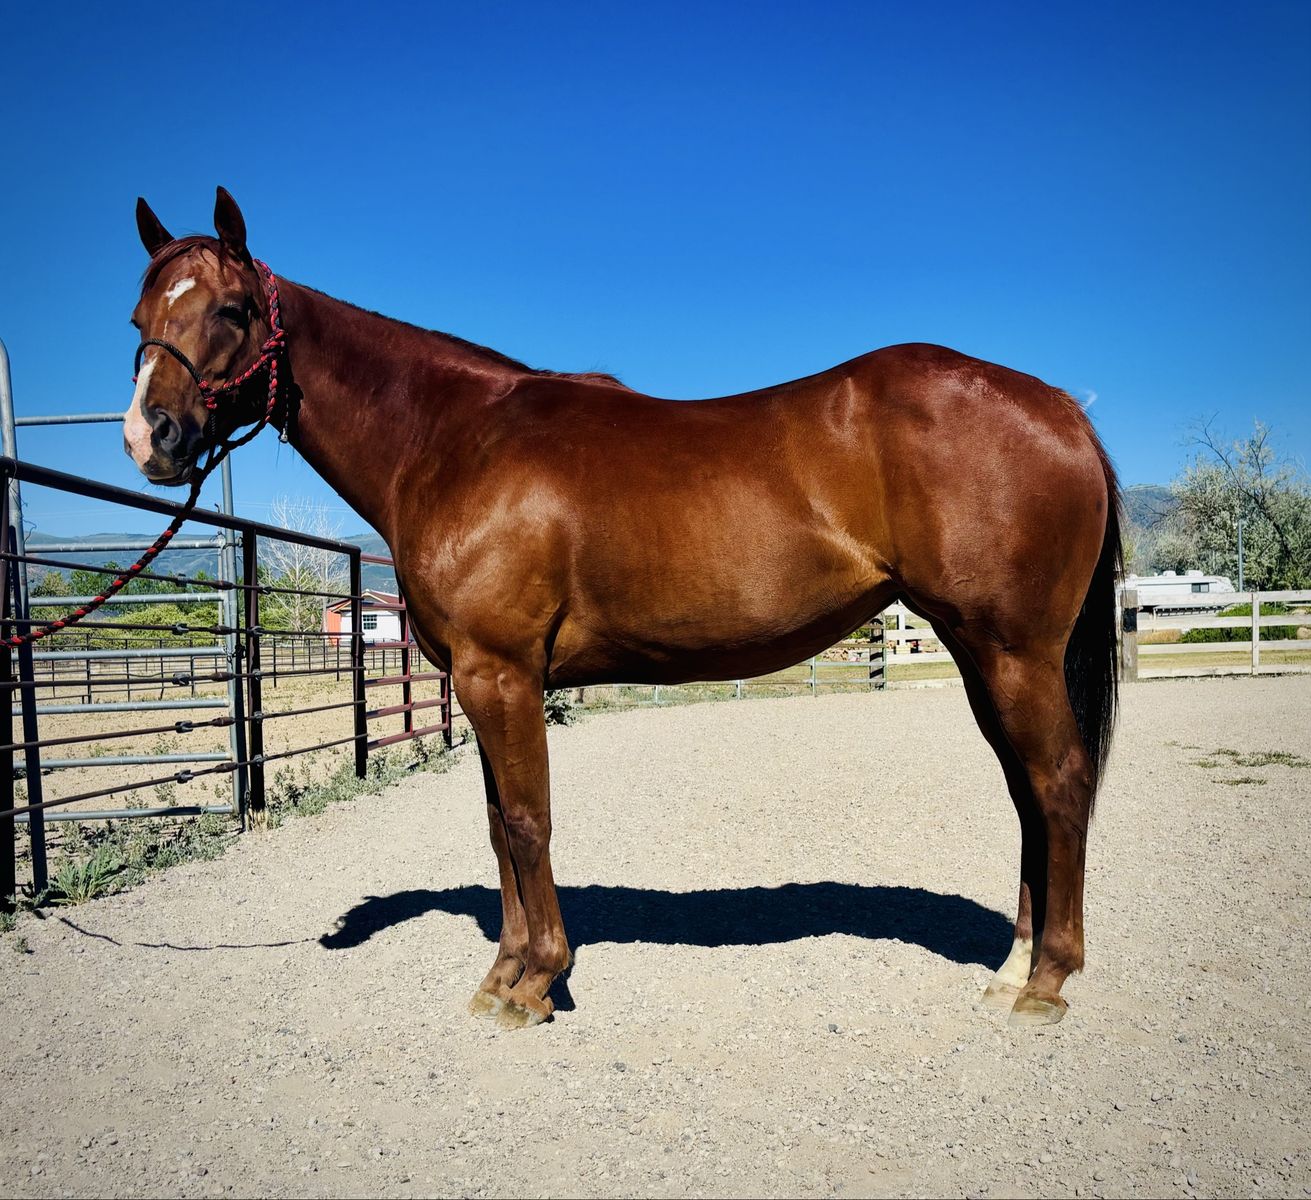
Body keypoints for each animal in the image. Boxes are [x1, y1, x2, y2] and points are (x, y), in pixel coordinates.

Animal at [123, 188, 1121, 1030]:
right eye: (140, 318)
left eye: (230, 310)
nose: (148, 438)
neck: (449, 441)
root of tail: (1059, 408)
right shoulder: (486, 682)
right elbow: (499, 828)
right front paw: (503, 975)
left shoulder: (501, 675)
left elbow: (528, 822)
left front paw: (535, 983)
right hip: (980, 653)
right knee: (1026, 791)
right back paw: (1011, 965)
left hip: (1013, 651)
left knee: (1059, 782)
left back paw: (1046, 980)